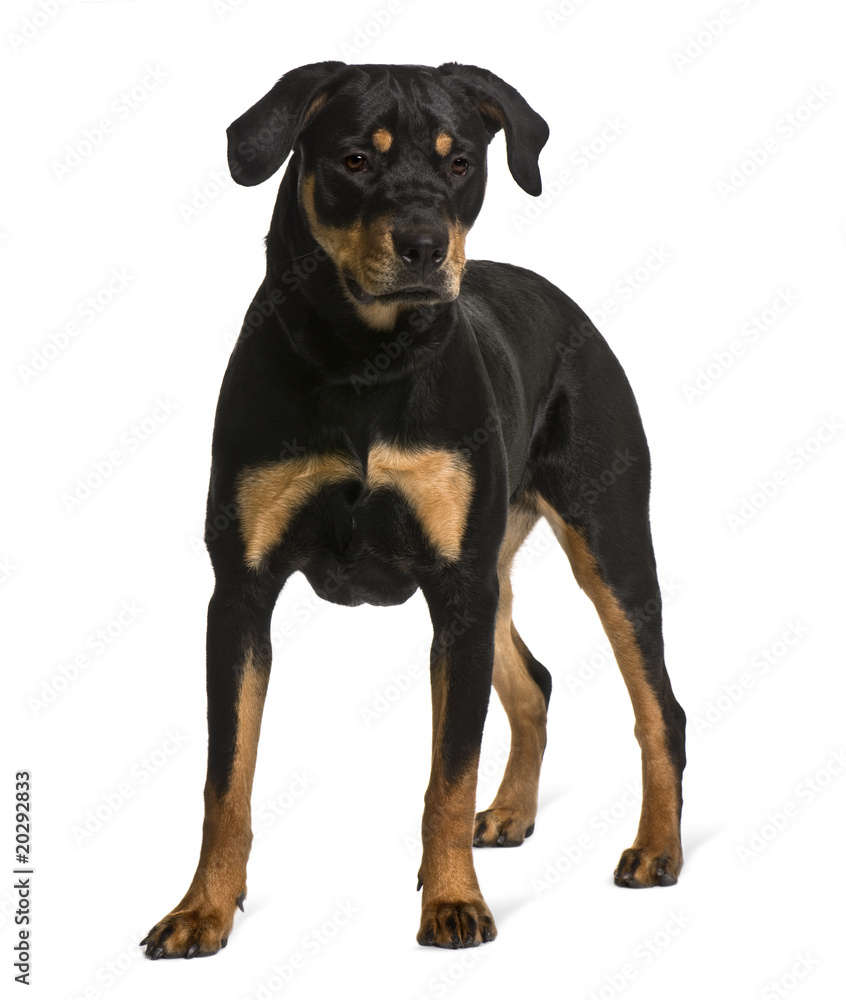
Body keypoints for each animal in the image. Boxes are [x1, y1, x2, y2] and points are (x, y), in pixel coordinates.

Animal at [142, 62, 684, 960]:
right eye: (355, 158)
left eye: (460, 161)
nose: (426, 246)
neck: (364, 360)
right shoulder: (242, 592)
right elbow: (228, 780)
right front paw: (202, 910)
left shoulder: (454, 585)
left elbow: (448, 772)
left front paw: (454, 904)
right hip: (496, 570)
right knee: (534, 681)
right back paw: (511, 815)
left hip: (607, 541)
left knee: (657, 706)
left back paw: (656, 849)